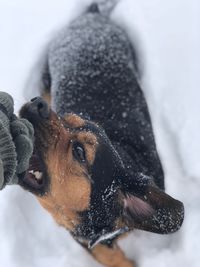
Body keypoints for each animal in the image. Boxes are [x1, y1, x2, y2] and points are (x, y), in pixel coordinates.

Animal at [19, 2, 184, 267]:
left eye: (79, 152)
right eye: (68, 117)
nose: (37, 105)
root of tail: (93, 16)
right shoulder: (87, 241)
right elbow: (110, 256)